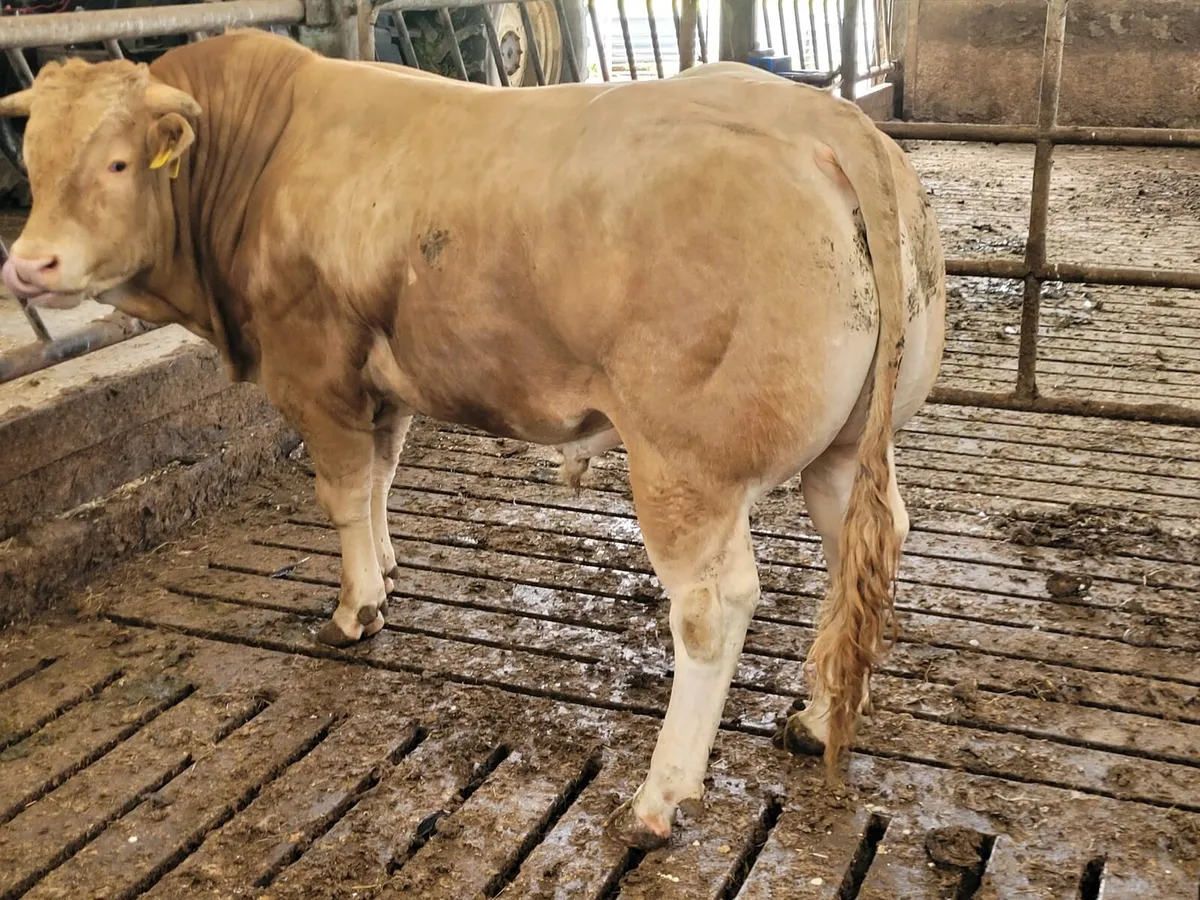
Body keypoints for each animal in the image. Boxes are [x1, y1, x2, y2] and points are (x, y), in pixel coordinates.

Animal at [0, 29, 945, 849]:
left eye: (118, 162)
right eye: (34, 162)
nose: (29, 265)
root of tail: (820, 116)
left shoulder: (312, 369)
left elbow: (342, 492)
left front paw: (353, 611)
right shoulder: (385, 385)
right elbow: (380, 481)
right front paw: (384, 573)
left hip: (686, 464)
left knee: (714, 608)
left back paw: (657, 798)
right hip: (846, 448)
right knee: (865, 547)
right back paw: (816, 718)